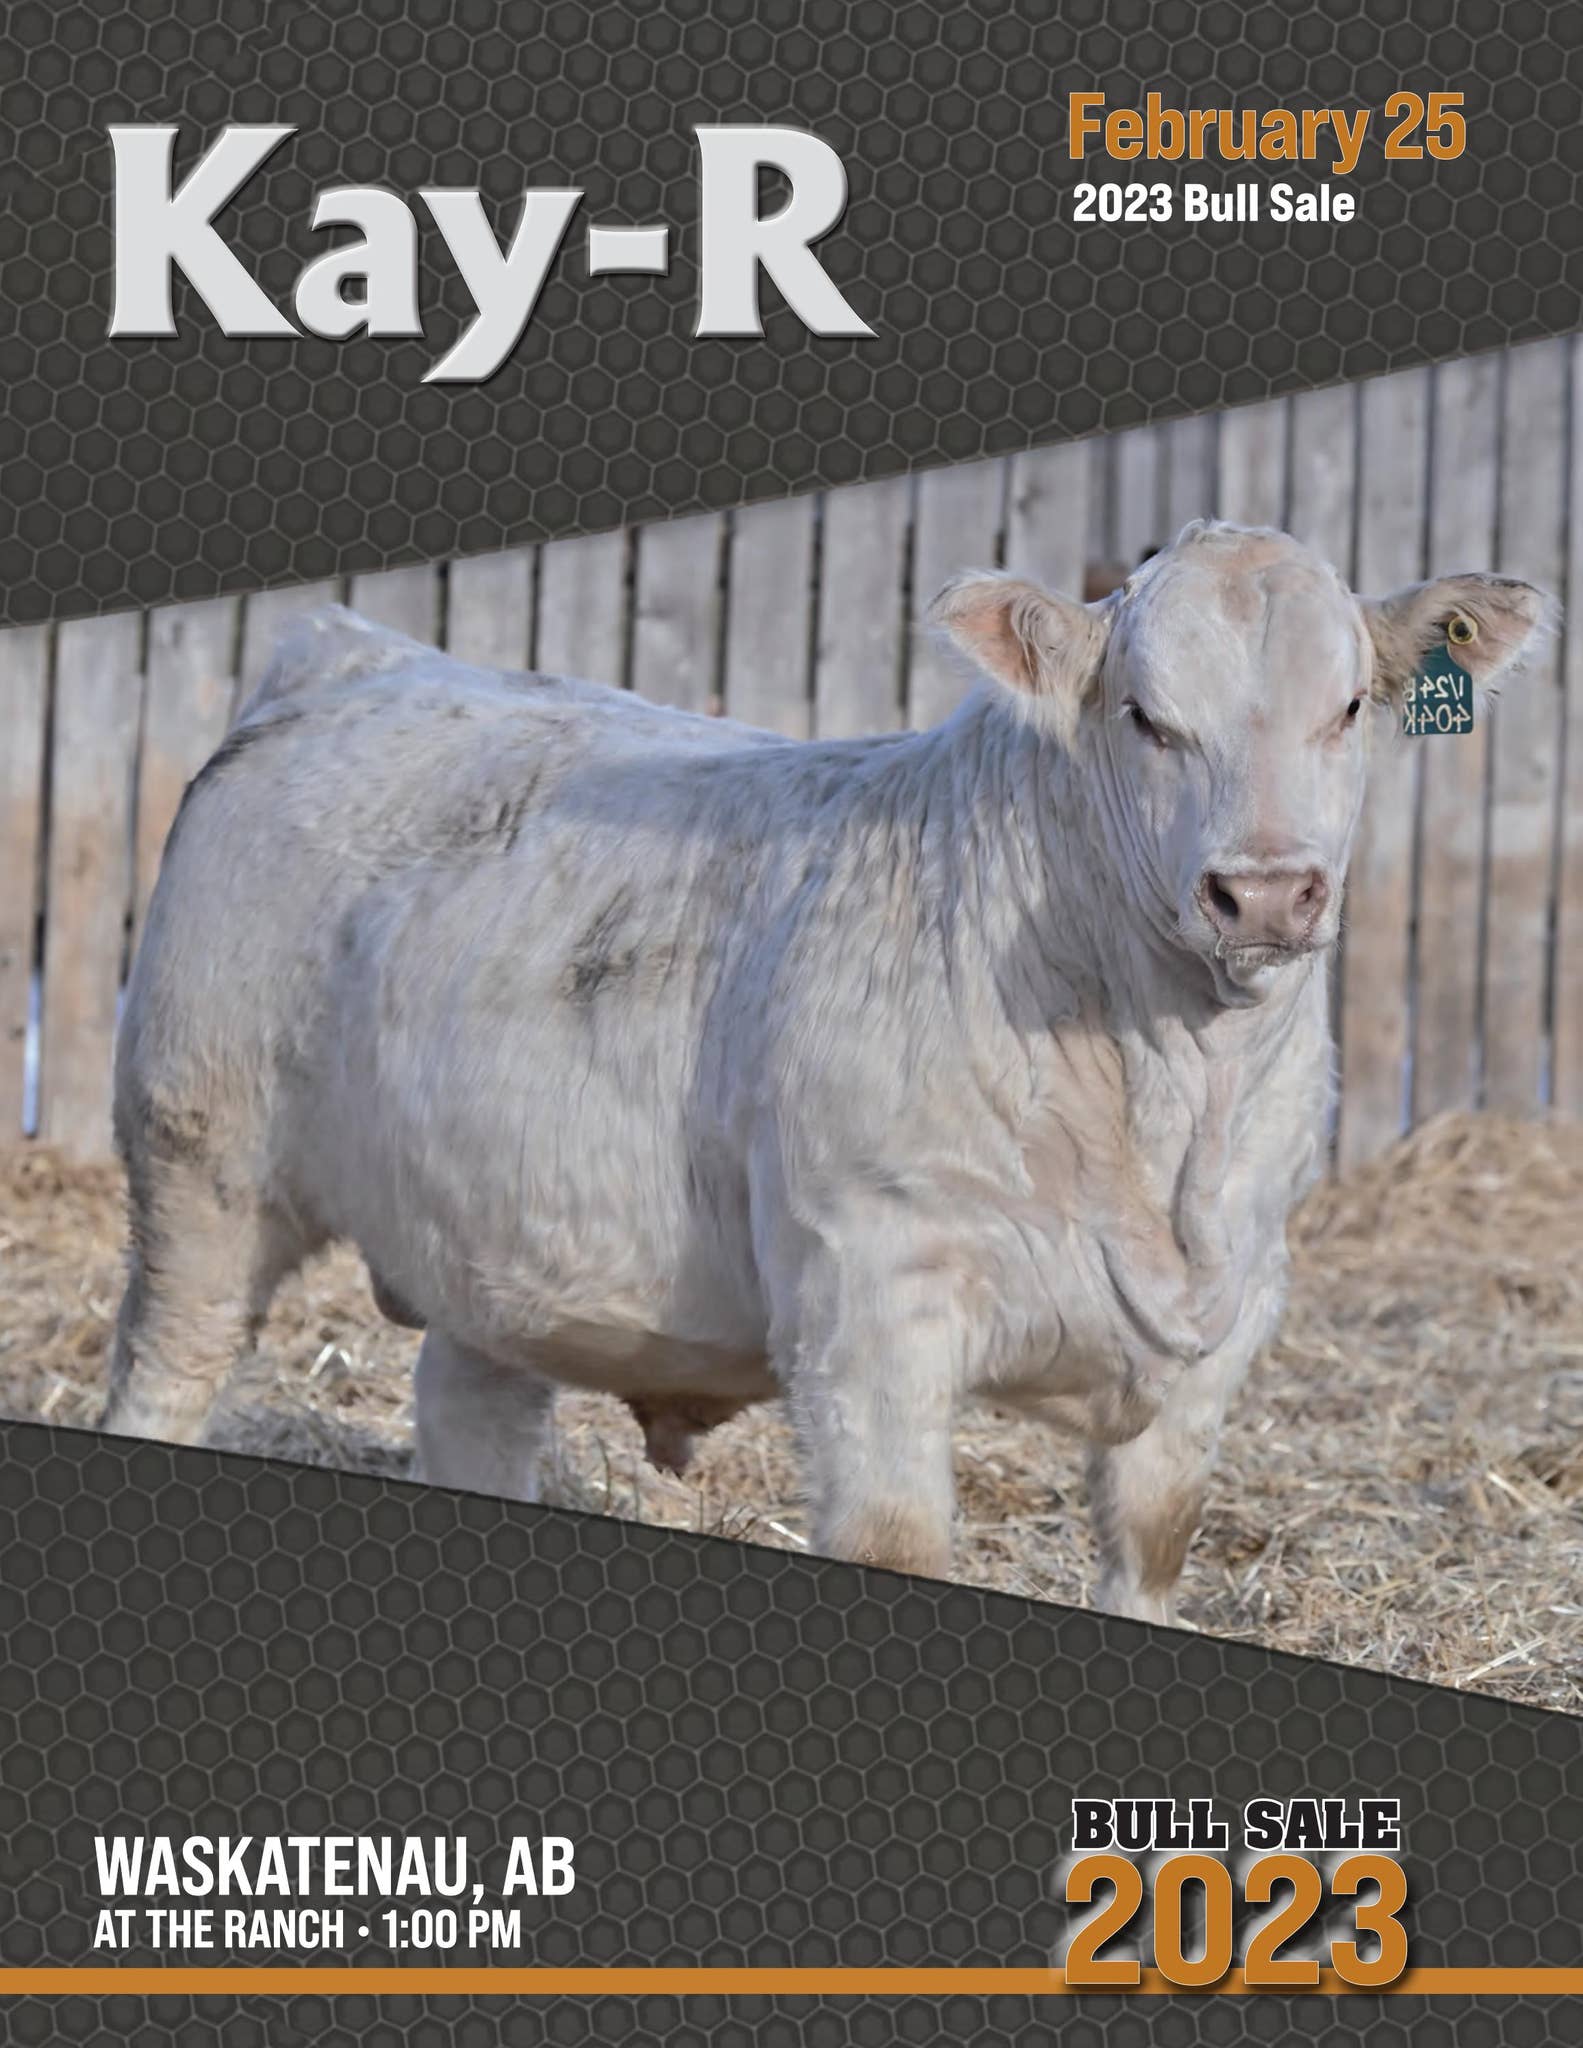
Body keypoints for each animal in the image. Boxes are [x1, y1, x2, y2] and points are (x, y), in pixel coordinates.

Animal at [100, 520, 1546, 1623]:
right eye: (1145, 717)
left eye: (1347, 706)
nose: (1262, 891)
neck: (1162, 1124)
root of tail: (359, 653)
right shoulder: (869, 1293)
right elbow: (896, 1539)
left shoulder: (1226, 1319)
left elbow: (1153, 1550)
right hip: (200, 1158)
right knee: (168, 1369)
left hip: (491, 1241)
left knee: (471, 1407)